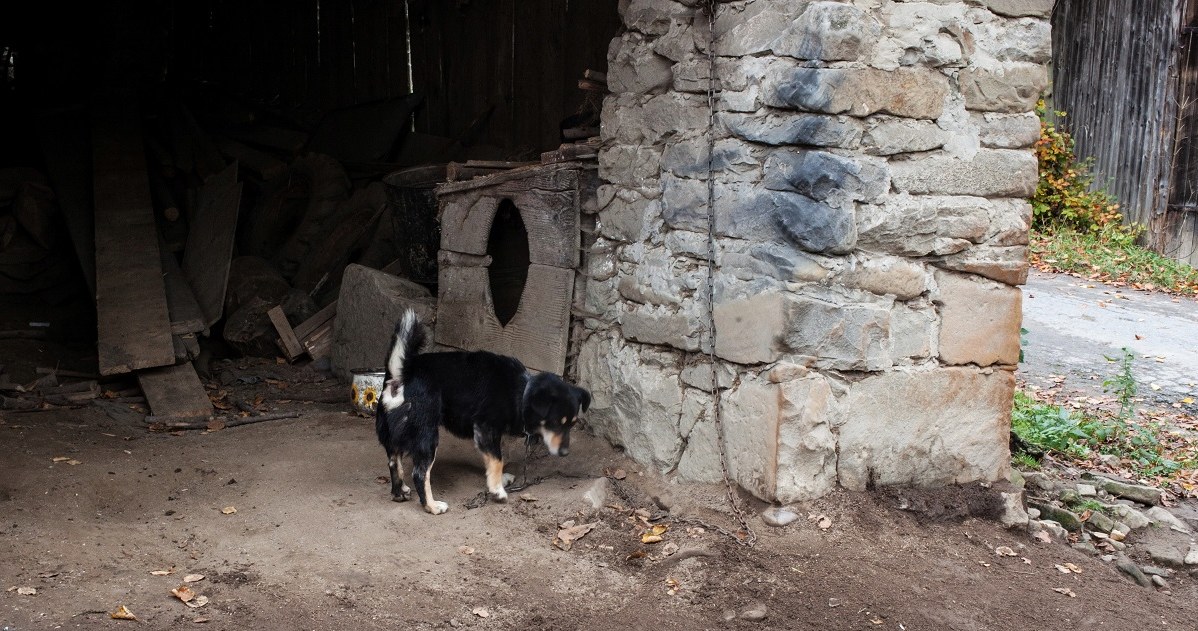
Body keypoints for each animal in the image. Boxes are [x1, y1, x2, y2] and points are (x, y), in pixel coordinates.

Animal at [373, 308, 589, 512]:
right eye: (555, 423)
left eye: (572, 424)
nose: (565, 452)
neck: (522, 392)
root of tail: (401, 374)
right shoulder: (486, 428)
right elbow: (498, 459)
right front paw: (497, 490)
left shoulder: (485, 434)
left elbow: (493, 458)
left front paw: (498, 480)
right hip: (427, 436)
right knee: (419, 473)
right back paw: (432, 506)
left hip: (394, 437)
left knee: (393, 463)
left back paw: (400, 492)